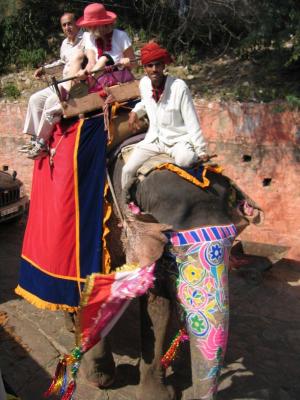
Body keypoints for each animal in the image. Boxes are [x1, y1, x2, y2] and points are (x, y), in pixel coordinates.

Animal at [81, 148, 262, 400]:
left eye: (231, 245)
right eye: (170, 254)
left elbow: (158, 307)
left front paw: (156, 395)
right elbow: (89, 281)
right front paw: (101, 378)